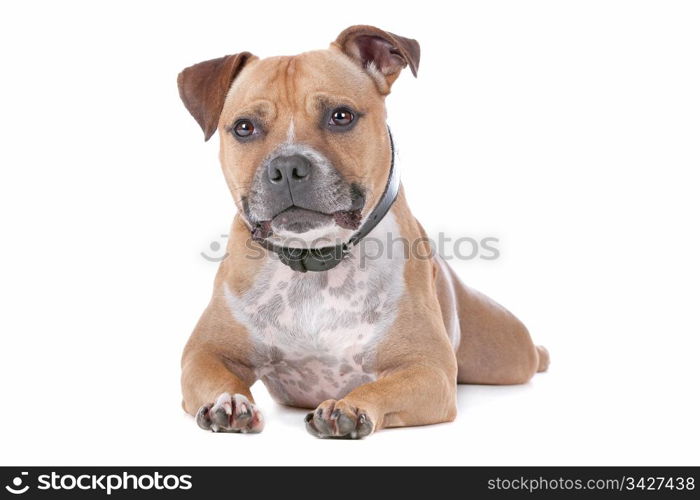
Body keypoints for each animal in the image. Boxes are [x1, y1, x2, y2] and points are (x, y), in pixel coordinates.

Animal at [175, 24, 548, 438]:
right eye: (244, 127)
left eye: (341, 116)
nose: (287, 166)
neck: (314, 260)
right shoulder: (205, 353)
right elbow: (220, 377)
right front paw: (229, 402)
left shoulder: (427, 369)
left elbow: (379, 388)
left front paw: (349, 407)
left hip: (507, 353)